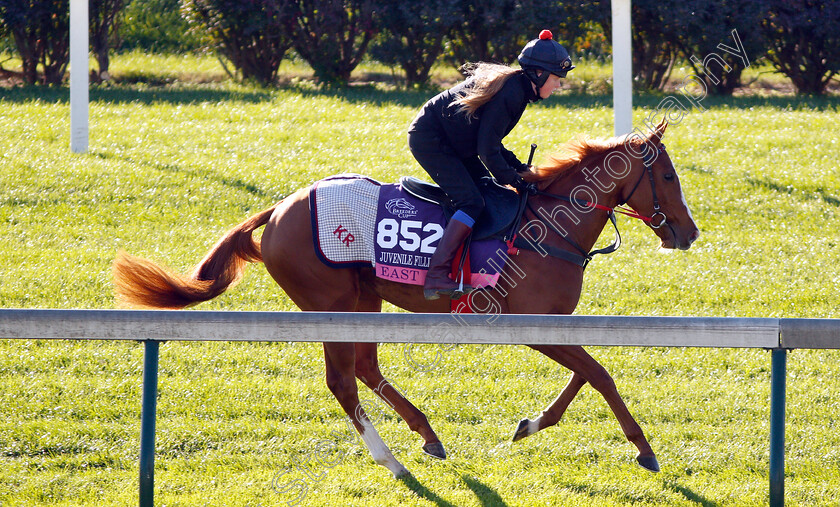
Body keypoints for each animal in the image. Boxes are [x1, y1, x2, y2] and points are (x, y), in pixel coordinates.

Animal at [115, 121, 700, 478]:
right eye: (668, 174)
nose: (689, 233)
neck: (547, 226)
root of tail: (279, 208)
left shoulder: (553, 324)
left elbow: (586, 374)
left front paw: (530, 424)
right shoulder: (527, 323)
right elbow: (599, 374)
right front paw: (644, 449)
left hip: (364, 301)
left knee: (366, 369)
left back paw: (427, 435)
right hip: (330, 303)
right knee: (342, 380)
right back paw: (392, 460)